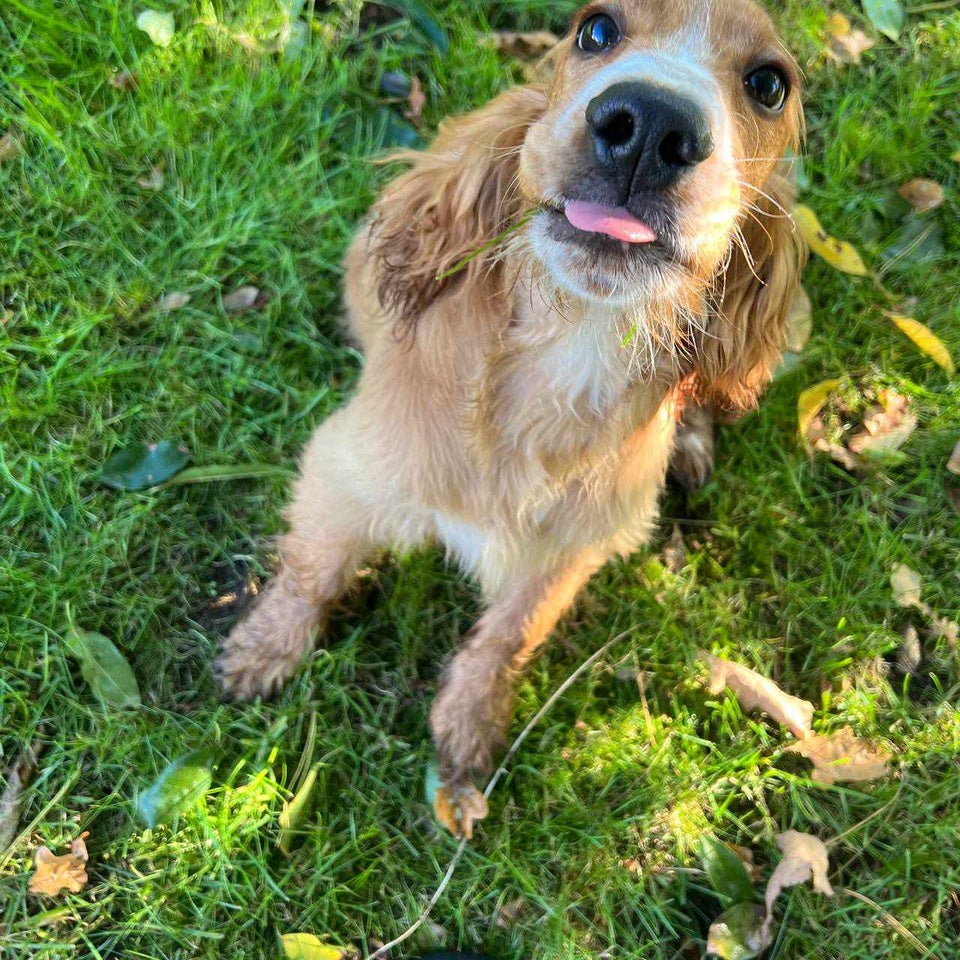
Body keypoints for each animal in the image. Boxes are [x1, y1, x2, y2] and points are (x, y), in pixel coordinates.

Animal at [218, 0, 804, 840]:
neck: (562, 353)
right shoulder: (347, 472)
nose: (651, 124)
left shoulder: (570, 548)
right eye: (596, 29)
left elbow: (509, 636)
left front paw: (466, 735)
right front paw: (263, 652)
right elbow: (311, 570)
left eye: (769, 84)